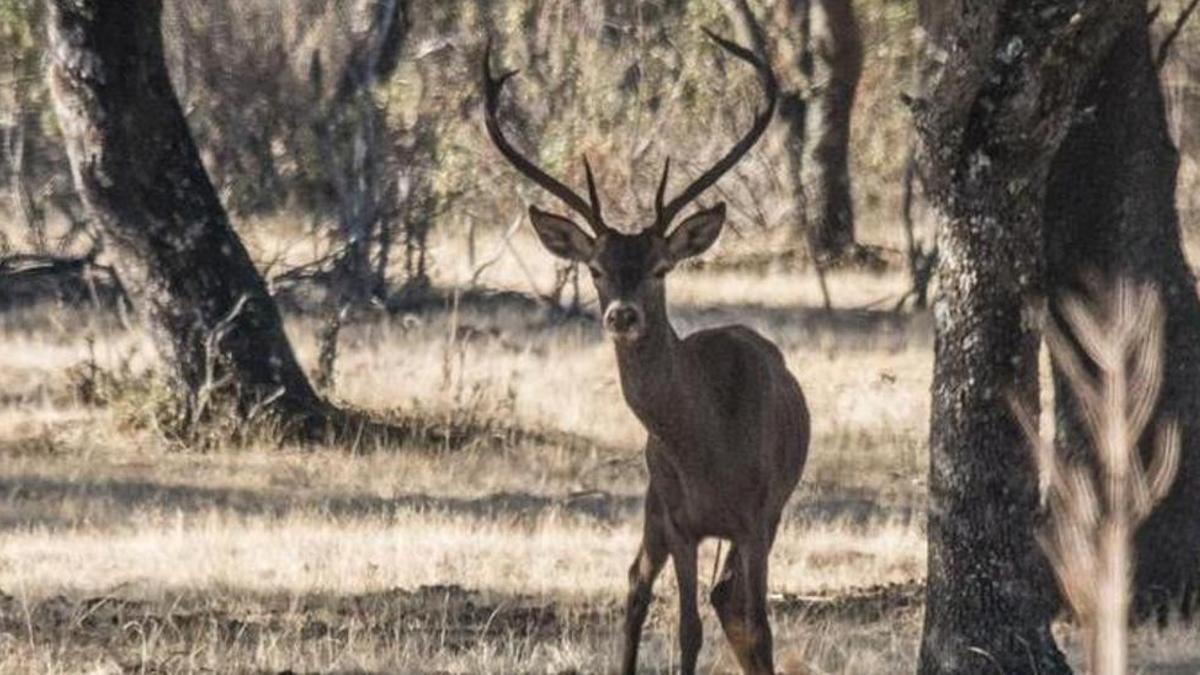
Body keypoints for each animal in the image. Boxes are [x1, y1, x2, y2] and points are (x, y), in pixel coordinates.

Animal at [483, 30, 809, 675]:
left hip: (765, 512)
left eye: (660, 268)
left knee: (726, 599)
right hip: (653, 500)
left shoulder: (757, 514)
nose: (622, 314)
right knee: (637, 583)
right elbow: (686, 629)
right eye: (595, 268)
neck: (710, 447)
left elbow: (758, 624)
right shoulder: (680, 519)